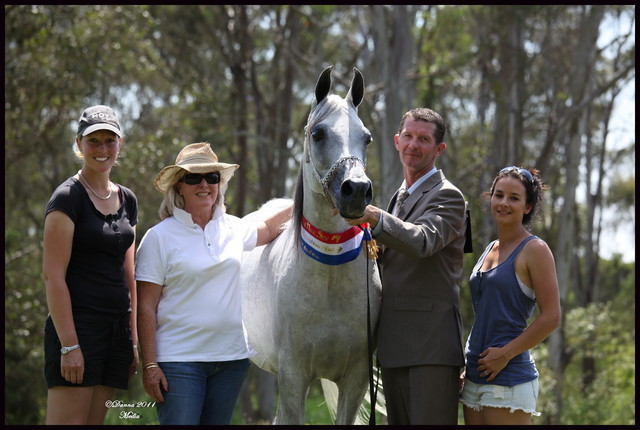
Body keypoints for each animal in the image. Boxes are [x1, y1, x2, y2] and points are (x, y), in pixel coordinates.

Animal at [240, 66, 382, 425]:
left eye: (367, 137)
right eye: (317, 134)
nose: (356, 190)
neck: (329, 280)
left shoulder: (356, 379)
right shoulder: (293, 375)